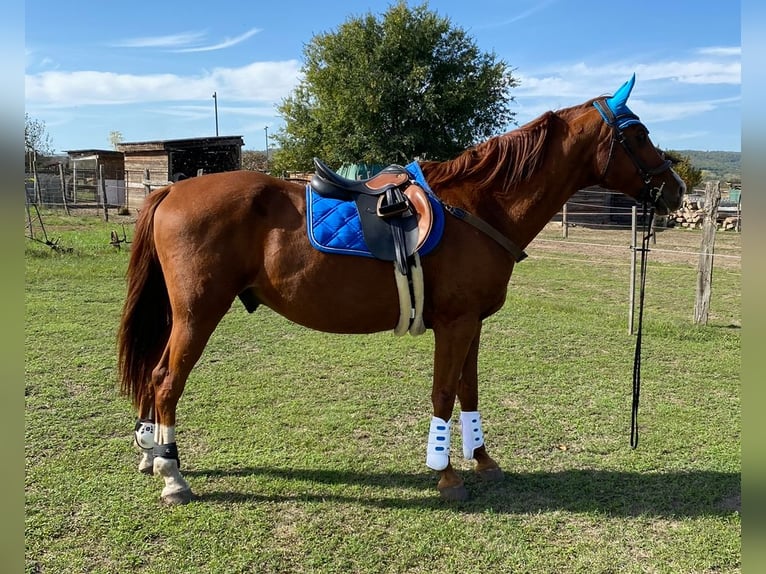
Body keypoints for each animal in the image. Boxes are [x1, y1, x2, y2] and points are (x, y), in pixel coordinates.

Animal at [121, 76, 688, 504]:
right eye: (638, 134)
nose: (677, 190)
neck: (477, 206)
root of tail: (171, 189)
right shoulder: (455, 324)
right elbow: (443, 393)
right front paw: (445, 473)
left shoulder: (473, 324)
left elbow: (468, 391)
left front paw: (483, 460)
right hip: (199, 313)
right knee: (166, 380)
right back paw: (173, 477)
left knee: (153, 375)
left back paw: (152, 456)